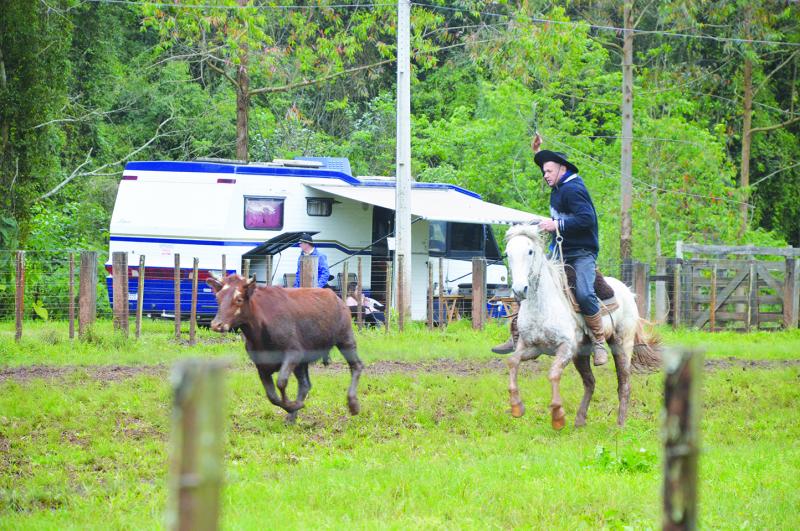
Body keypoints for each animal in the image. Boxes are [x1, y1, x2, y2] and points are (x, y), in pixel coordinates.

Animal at [209, 274, 366, 424]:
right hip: (304, 362)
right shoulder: (261, 365)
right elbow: (272, 396)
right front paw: (293, 407)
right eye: (217, 298)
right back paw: (292, 416)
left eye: (239, 299)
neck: (260, 334)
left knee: (357, 366)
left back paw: (353, 404)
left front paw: (293, 405)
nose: (216, 325)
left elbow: (281, 382)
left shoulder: (294, 353)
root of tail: (337, 299)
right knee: (305, 385)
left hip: (346, 339)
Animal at [504, 222, 660, 430]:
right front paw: (516, 406)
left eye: (530, 251)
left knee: (624, 383)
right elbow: (513, 361)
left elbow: (553, 374)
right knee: (590, 382)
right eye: (508, 253)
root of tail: (627, 291)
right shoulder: (531, 347)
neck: (543, 305)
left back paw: (620, 424)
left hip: (622, 344)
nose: (520, 290)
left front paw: (557, 415)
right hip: (582, 353)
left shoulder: (566, 347)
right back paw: (580, 419)